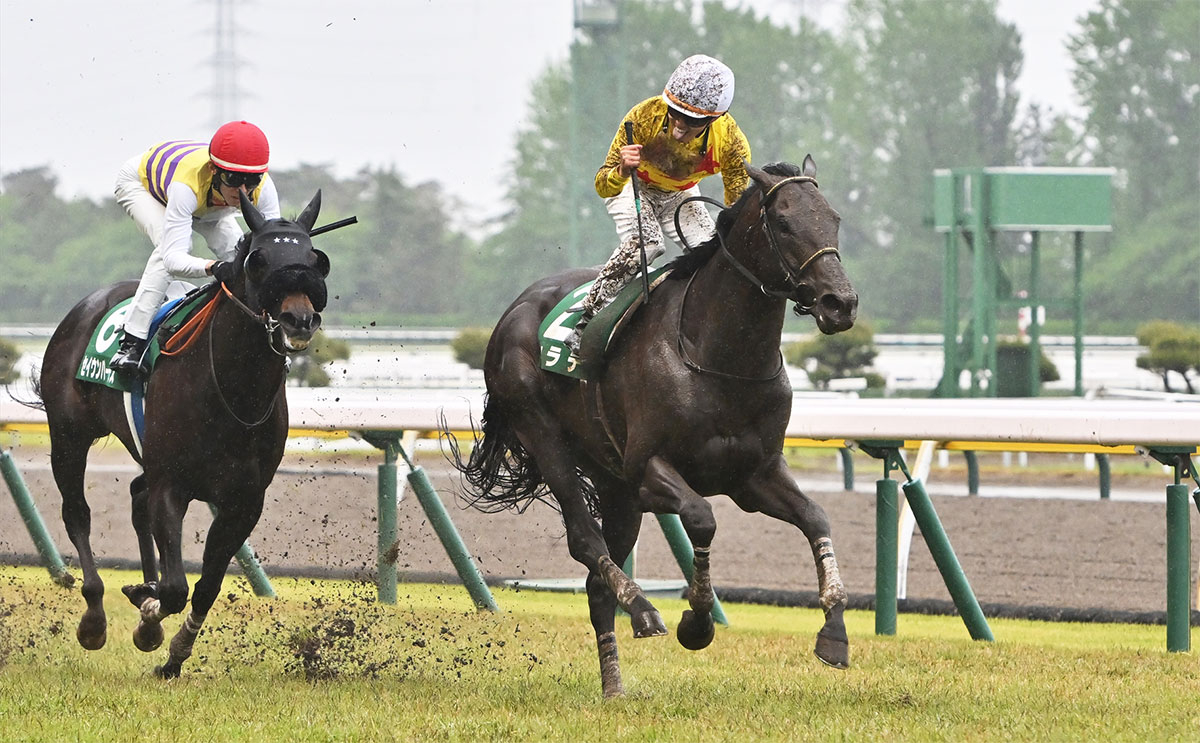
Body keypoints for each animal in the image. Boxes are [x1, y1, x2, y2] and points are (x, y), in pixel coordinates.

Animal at [38, 190, 328, 681]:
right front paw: (148, 610)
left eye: (314, 259)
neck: (232, 391)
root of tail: (86, 306)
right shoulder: (172, 484)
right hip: (68, 435)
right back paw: (94, 617)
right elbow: (175, 587)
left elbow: (206, 586)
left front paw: (172, 652)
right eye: (259, 261)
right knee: (77, 513)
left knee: (136, 496)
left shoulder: (244, 499)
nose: (298, 319)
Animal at [453, 158, 859, 696]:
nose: (841, 303)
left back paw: (613, 685)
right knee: (585, 541)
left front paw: (834, 632)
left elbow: (816, 517)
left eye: (833, 219)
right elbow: (702, 518)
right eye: (785, 223)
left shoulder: (755, 474)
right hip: (546, 438)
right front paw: (697, 623)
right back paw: (643, 609)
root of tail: (514, 309)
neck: (719, 357)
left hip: (614, 483)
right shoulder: (649, 468)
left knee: (595, 582)